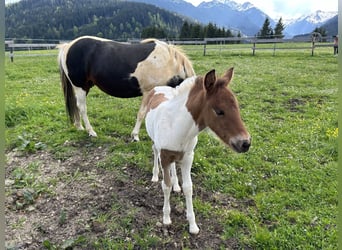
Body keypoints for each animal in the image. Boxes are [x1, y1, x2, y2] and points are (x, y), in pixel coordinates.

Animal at [57, 35, 194, 141]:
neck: (169, 63)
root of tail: (68, 46)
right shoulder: (148, 92)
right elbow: (142, 114)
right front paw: (135, 136)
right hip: (80, 87)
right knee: (82, 108)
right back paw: (91, 131)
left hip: (85, 87)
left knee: (76, 106)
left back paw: (79, 127)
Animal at [144, 67, 251, 233]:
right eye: (219, 111)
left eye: (238, 107)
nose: (245, 143)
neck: (177, 126)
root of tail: (159, 87)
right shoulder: (165, 156)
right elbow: (165, 185)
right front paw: (166, 218)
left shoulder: (188, 157)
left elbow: (188, 187)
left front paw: (193, 225)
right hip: (156, 143)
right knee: (154, 151)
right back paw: (155, 176)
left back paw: (176, 185)